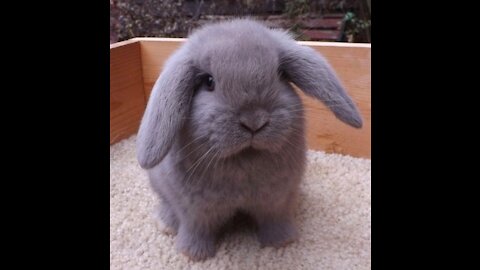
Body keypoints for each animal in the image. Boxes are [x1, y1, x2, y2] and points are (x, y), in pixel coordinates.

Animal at [137, 17, 362, 260]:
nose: (254, 122)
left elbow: (275, 221)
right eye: (209, 82)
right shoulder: (196, 210)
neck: (244, 160)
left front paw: (281, 242)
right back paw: (166, 224)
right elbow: (197, 228)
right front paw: (194, 254)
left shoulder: (277, 201)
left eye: (280, 75)